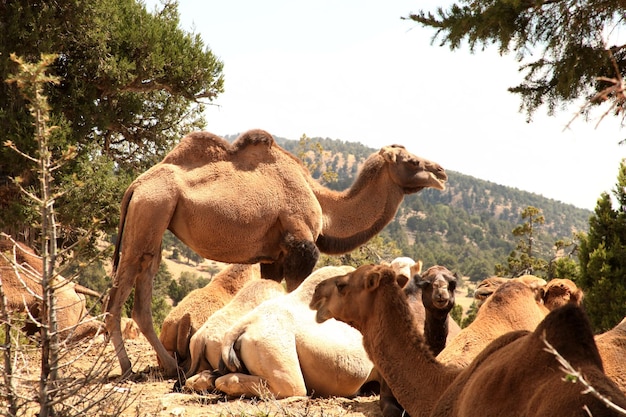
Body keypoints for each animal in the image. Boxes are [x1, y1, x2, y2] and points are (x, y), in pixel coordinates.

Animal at [108, 128, 448, 376]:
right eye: (412, 161)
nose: (442, 173)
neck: (324, 207)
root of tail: (135, 186)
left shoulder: (272, 256)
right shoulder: (301, 247)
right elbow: (298, 291)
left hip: (154, 218)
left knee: (141, 284)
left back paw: (163, 365)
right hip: (152, 209)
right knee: (123, 290)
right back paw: (133, 367)